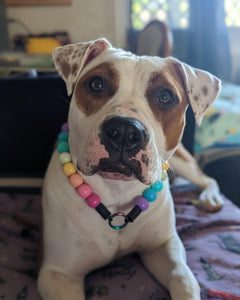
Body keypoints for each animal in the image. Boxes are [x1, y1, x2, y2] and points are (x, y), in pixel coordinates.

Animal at [37, 38, 223, 300]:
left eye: (165, 96)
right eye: (96, 84)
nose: (124, 131)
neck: (117, 192)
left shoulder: (163, 246)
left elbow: (184, 279)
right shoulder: (57, 274)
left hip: (181, 161)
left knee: (206, 178)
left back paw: (210, 198)